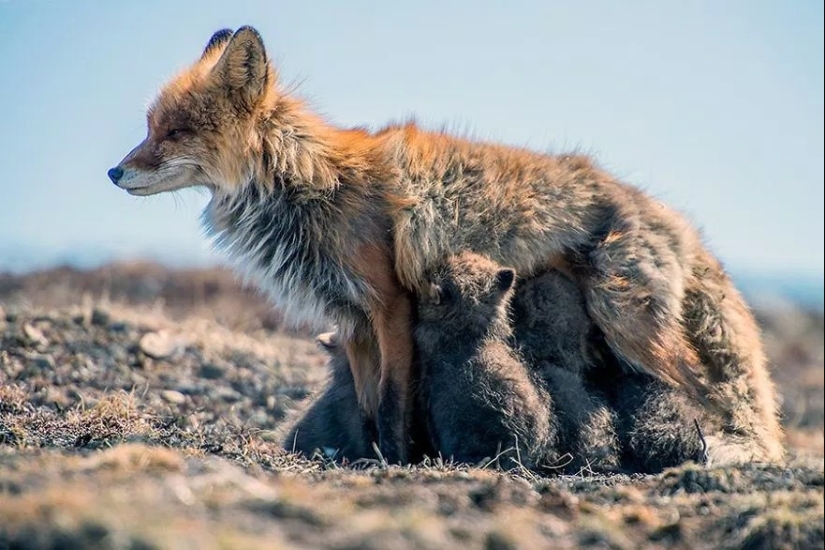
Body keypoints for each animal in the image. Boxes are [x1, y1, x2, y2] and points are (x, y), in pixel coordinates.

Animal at [111, 25, 784, 466]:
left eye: (175, 133)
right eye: (148, 128)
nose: (114, 173)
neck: (311, 186)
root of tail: (678, 220)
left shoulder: (389, 306)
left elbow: (391, 404)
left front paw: (398, 460)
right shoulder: (352, 319)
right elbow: (365, 406)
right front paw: (366, 457)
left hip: (627, 322)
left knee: (698, 389)